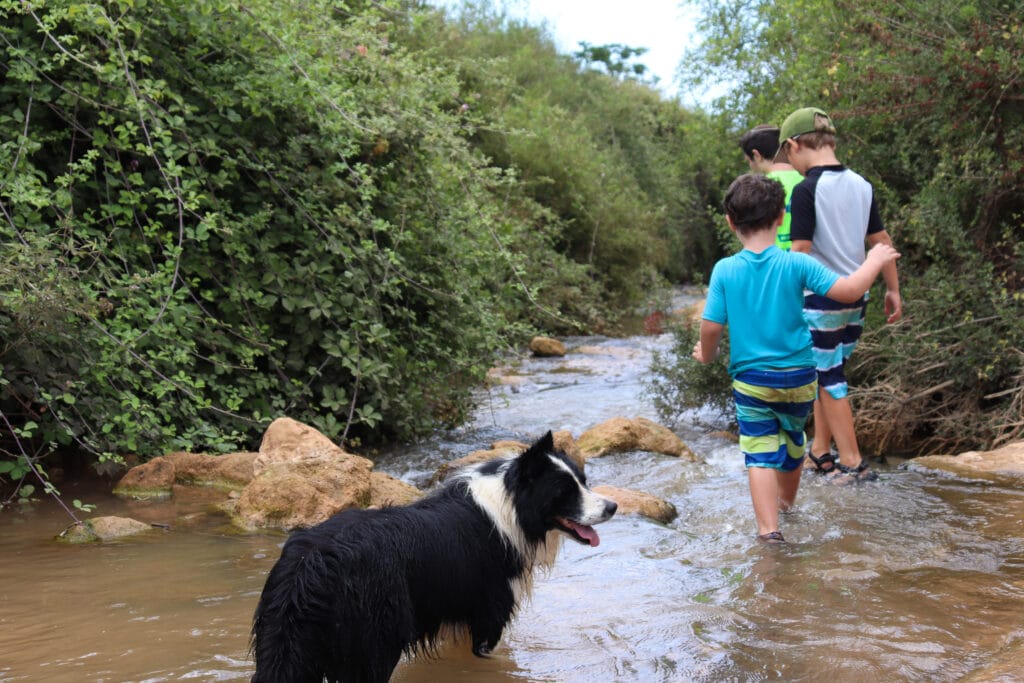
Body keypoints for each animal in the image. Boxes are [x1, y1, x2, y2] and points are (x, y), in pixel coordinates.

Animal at [249, 432, 614, 683]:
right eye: (564, 491)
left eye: (584, 482)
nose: (612, 507)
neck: (511, 506)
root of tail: (312, 562)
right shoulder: (491, 609)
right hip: (375, 639)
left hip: (285, 640)